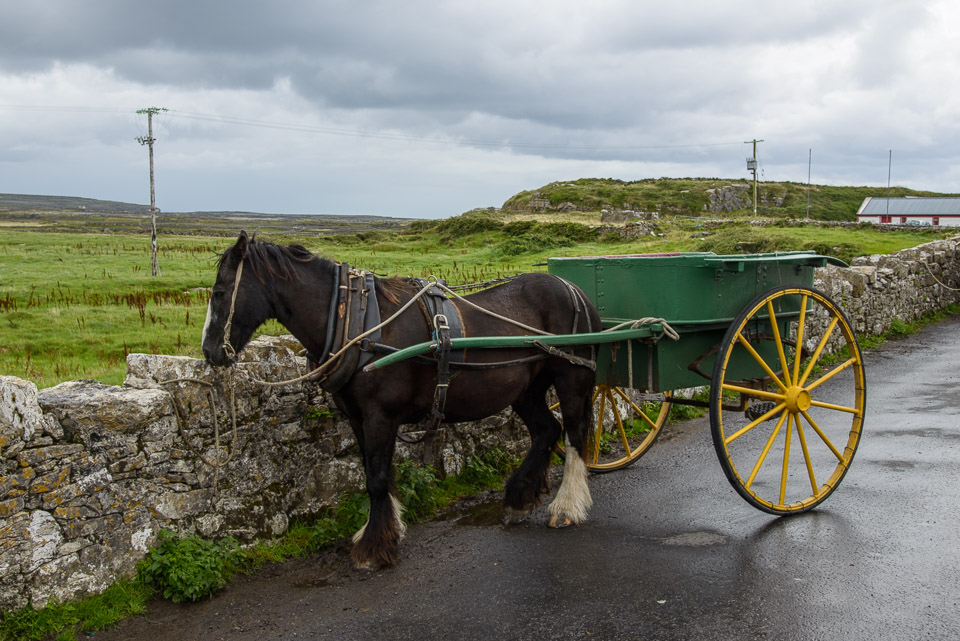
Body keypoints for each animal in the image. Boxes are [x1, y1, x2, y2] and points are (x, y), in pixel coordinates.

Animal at [202, 231, 601, 568]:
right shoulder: (357, 417)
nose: (209, 352)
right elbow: (374, 473)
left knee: (574, 434)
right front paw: (382, 532)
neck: (357, 323)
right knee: (546, 431)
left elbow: (377, 479)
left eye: (220, 292)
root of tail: (574, 289)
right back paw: (519, 498)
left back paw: (566, 506)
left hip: (571, 378)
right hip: (526, 389)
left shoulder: (381, 414)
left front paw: (373, 548)